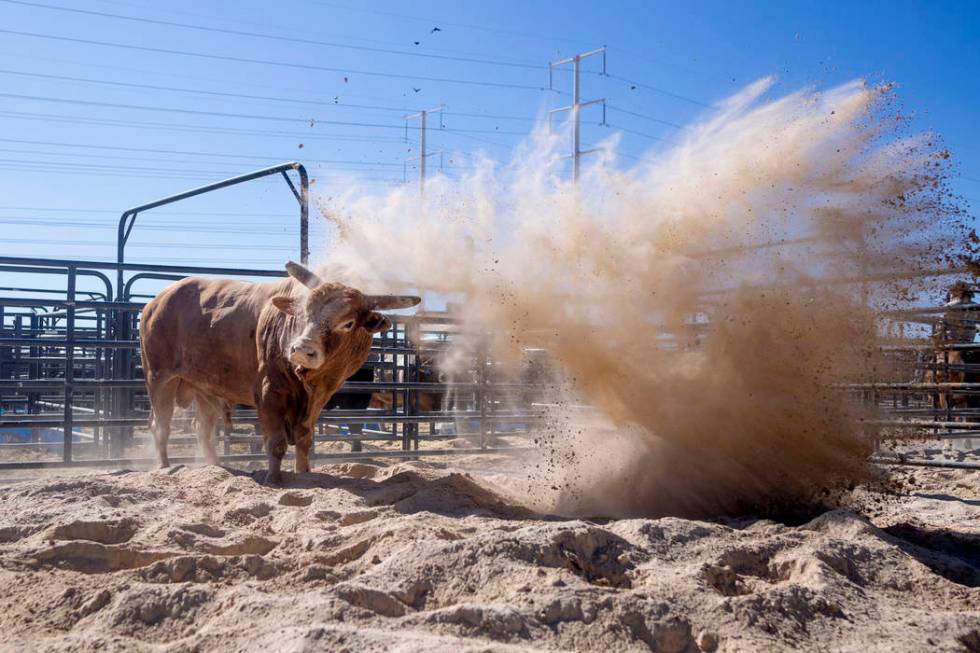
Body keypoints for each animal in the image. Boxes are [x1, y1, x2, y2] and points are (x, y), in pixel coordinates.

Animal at [141, 262, 418, 484]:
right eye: (304, 313)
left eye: (348, 323)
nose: (302, 349)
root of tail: (156, 302)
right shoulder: (269, 394)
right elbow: (275, 442)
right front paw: (274, 478)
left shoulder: (319, 398)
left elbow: (304, 439)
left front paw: (303, 473)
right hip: (160, 378)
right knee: (160, 425)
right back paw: (164, 467)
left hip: (205, 387)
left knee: (203, 429)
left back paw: (214, 467)